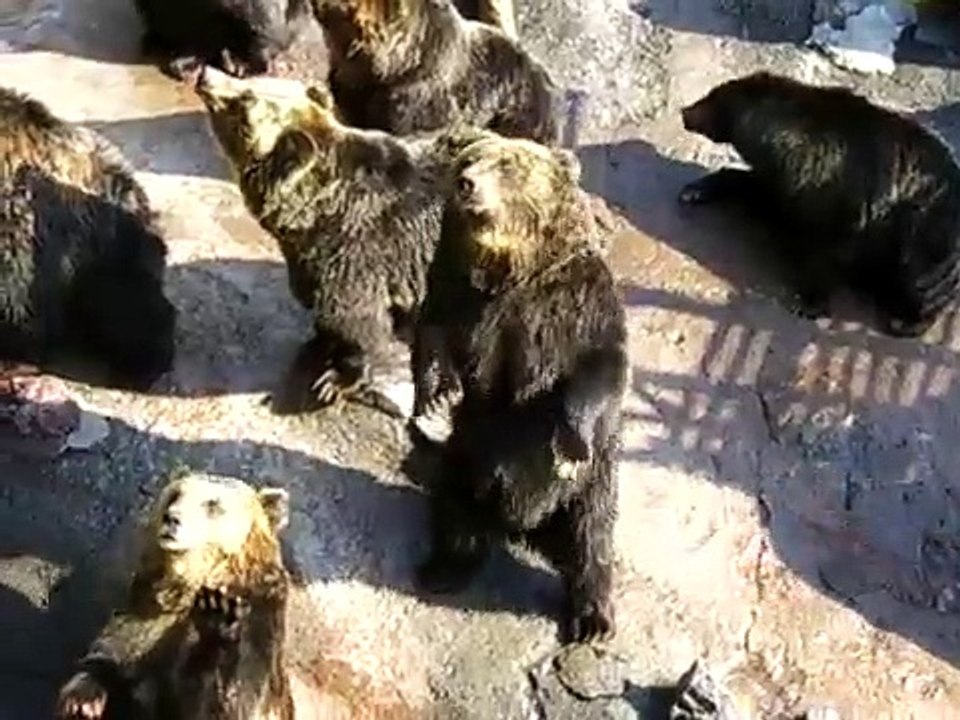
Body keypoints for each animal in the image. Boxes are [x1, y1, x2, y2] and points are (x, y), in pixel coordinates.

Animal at [55, 471, 294, 719]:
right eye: (175, 494)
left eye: (213, 504)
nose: (172, 518)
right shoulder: (149, 613)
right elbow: (115, 652)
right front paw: (83, 700)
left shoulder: (259, 619)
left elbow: (234, 695)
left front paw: (218, 614)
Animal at [193, 65, 477, 418]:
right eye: (251, 83)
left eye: (245, 99)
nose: (206, 74)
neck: (313, 213)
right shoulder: (310, 259)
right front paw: (318, 341)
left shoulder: (360, 249)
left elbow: (356, 321)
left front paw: (335, 379)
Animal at [409, 132, 628, 644]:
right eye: (468, 161)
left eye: (508, 165)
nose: (468, 183)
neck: (509, 267)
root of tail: (523, 526)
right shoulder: (457, 291)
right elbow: (432, 331)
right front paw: (438, 391)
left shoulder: (574, 305)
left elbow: (599, 367)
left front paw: (571, 440)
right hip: (469, 455)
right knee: (455, 513)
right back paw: (444, 568)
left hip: (588, 487)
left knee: (591, 538)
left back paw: (592, 618)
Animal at [678, 71, 960, 337]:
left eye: (712, 98)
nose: (685, 112)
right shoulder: (786, 182)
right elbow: (759, 191)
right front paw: (696, 190)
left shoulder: (840, 198)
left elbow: (823, 251)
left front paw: (809, 303)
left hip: (928, 240)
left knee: (918, 284)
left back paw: (905, 321)